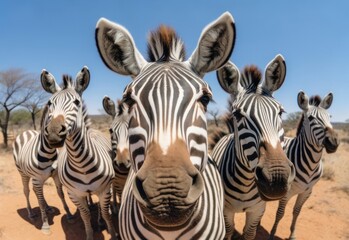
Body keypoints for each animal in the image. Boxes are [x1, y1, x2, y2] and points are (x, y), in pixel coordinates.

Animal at [12, 104, 72, 233]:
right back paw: (31, 213)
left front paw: (69, 214)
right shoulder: (37, 179)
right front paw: (45, 225)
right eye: (49, 117)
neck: (48, 154)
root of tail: (26, 132)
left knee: (35, 190)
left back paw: (48, 207)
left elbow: (61, 194)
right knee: (27, 191)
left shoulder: (55, 175)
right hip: (23, 173)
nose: (56, 140)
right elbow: (39, 201)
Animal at [40, 67, 117, 240]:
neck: (81, 164)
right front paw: (89, 233)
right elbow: (85, 215)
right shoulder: (74, 194)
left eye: (76, 102)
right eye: (49, 103)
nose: (53, 133)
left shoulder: (104, 190)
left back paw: (100, 220)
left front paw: (112, 232)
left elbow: (106, 214)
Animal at [211, 56, 294, 240]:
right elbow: (228, 231)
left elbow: (249, 233)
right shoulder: (226, 211)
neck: (246, 182)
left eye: (280, 113)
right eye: (237, 115)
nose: (277, 179)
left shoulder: (257, 210)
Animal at [268, 90, 338, 240]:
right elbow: (280, 213)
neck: (311, 165)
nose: (333, 142)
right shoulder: (287, 192)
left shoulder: (307, 191)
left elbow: (296, 211)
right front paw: (271, 234)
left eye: (330, 117)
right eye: (311, 118)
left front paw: (292, 234)